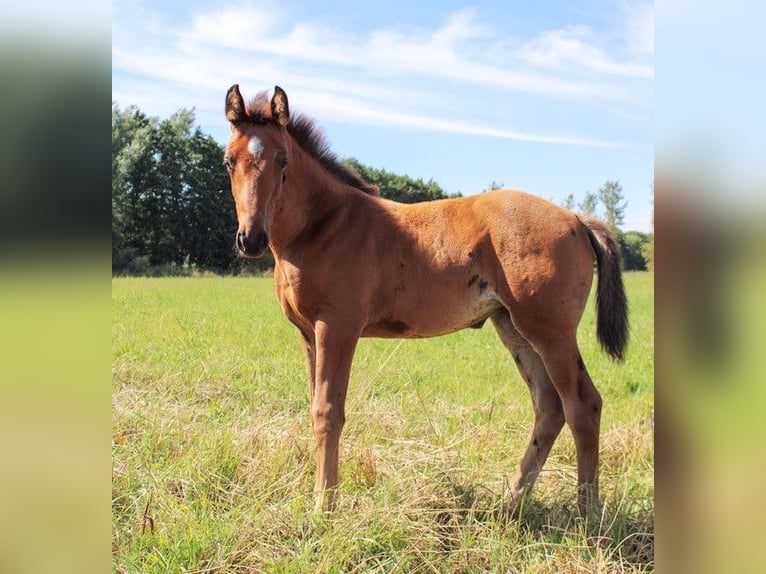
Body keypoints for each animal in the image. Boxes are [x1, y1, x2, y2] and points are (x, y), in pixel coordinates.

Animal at [224, 84, 632, 512]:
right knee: (549, 406)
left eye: (283, 161)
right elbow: (314, 405)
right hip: (514, 326)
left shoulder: (337, 327)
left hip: (551, 332)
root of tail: (576, 218)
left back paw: (587, 512)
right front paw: (321, 498)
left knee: (583, 404)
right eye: (228, 162)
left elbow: (328, 411)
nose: (251, 239)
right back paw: (511, 501)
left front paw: (324, 506)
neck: (324, 224)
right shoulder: (307, 332)